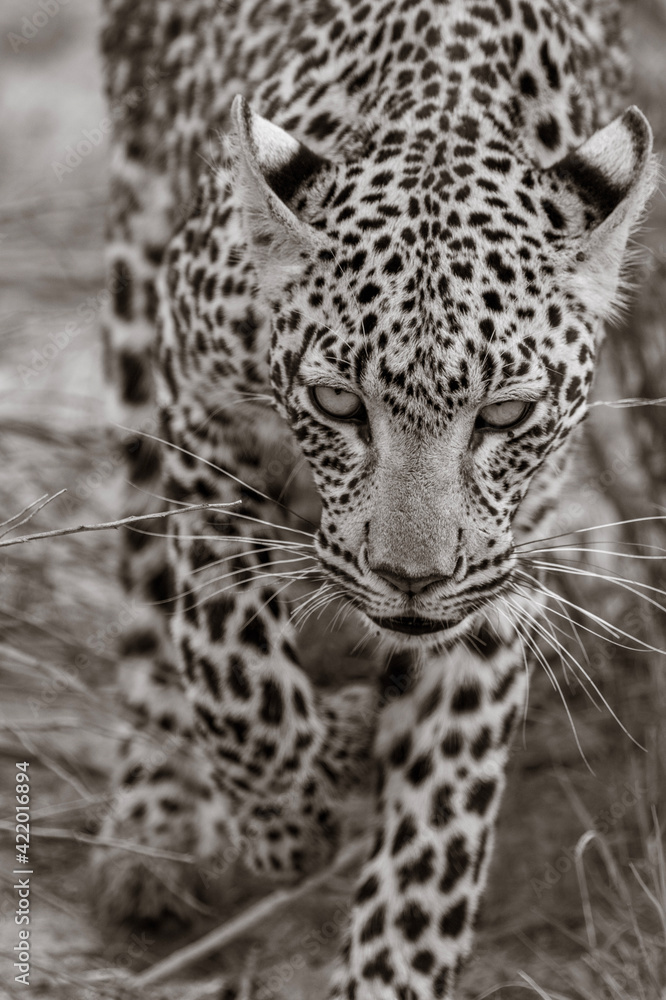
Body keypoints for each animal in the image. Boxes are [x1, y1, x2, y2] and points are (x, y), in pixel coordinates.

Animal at [94, 0, 656, 996]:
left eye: (505, 415)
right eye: (337, 405)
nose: (411, 580)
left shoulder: (501, 565)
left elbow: (438, 825)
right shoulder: (194, 394)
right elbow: (229, 648)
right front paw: (290, 819)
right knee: (147, 599)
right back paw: (152, 829)